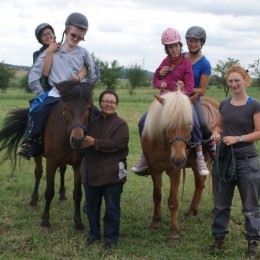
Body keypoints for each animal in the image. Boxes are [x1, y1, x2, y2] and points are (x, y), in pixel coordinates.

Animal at [0, 80, 93, 231]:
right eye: (65, 108)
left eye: (88, 108)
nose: (78, 140)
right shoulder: (51, 162)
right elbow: (49, 191)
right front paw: (45, 221)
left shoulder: (78, 164)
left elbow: (77, 194)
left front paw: (78, 222)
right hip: (37, 155)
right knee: (38, 173)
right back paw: (33, 201)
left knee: (62, 170)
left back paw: (62, 195)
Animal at [141, 91, 218, 242]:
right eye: (167, 124)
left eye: (189, 125)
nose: (178, 159)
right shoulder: (154, 169)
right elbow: (157, 196)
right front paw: (154, 222)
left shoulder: (174, 171)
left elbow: (173, 201)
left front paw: (174, 233)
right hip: (194, 164)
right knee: (200, 183)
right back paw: (191, 211)